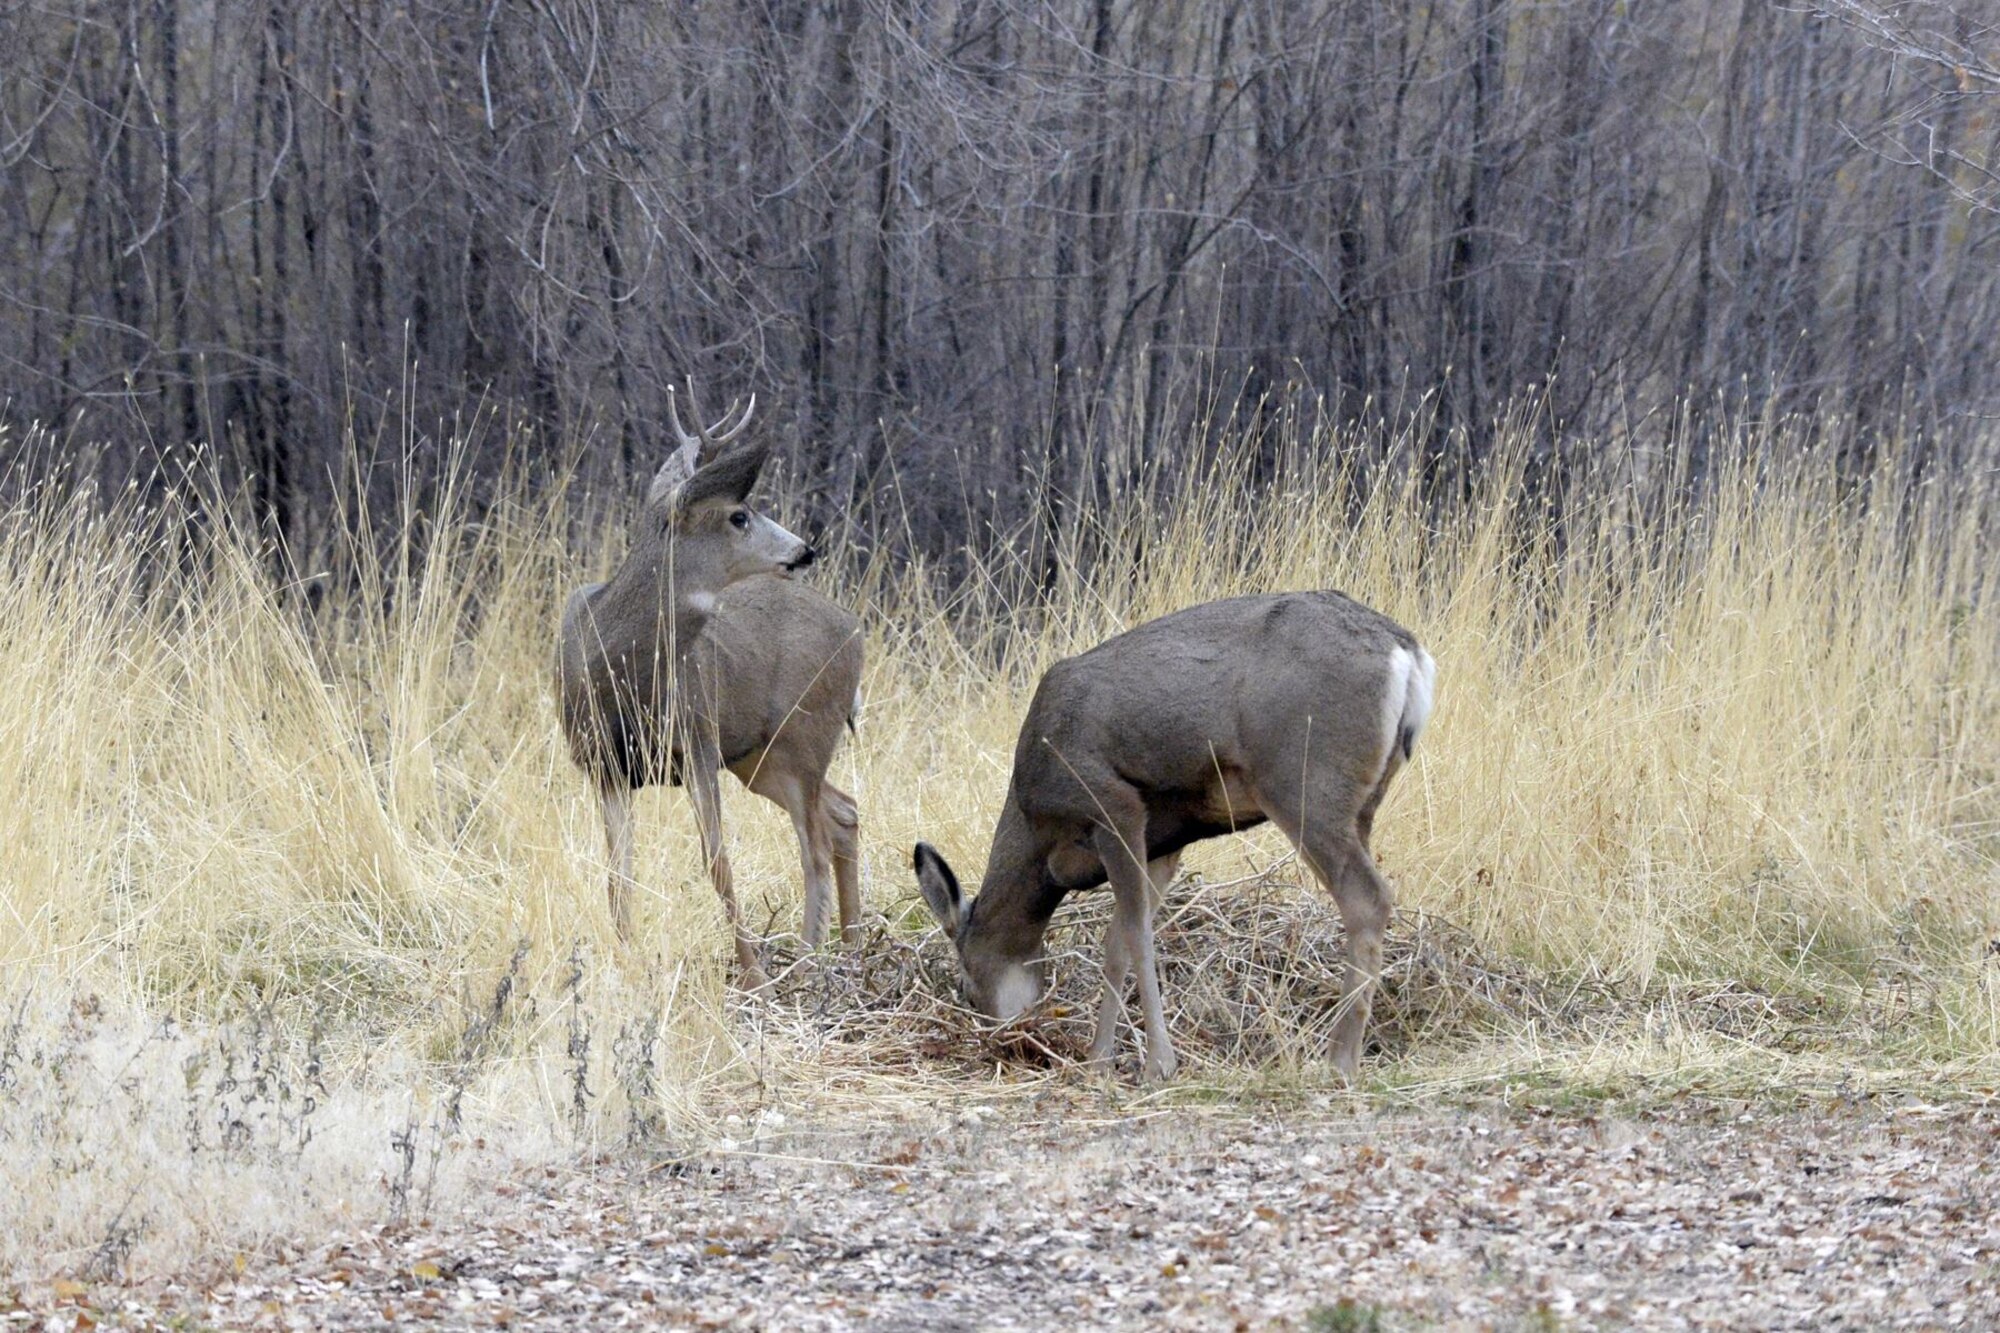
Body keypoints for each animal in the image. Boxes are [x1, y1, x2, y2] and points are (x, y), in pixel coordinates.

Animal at [552, 390, 864, 980]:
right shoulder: (604, 766)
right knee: (842, 813)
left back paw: (807, 962)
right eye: (739, 515)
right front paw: (627, 961)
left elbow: (717, 861)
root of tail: (855, 630)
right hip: (759, 756)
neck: (616, 673)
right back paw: (853, 944)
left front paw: (754, 977)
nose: (804, 550)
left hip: (805, 733)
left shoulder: (696, 742)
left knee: (813, 841)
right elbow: (618, 873)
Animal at [916, 592, 1432, 1080]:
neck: (1039, 835)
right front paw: (1099, 1061)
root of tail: (1408, 653)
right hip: (1361, 802)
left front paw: (1157, 1064)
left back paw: (1339, 1062)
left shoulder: (1112, 805)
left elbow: (1137, 935)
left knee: (1368, 897)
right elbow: (1118, 942)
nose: (1004, 1039)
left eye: (965, 986)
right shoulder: (1165, 840)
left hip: (1304, 783)